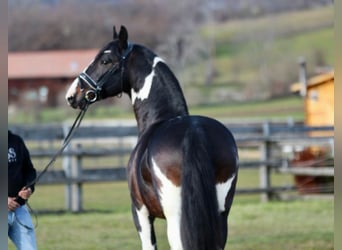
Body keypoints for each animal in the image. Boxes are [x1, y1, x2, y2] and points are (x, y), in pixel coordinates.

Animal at [65, 25, 239, 250]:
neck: (160, 118)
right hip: (219, 217)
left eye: (105, 60)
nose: (72, 95)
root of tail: (194, 131)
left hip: (175, 219)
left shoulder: (140, 212)